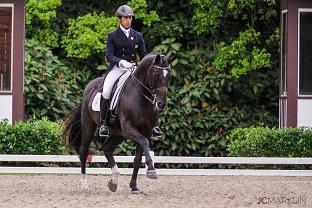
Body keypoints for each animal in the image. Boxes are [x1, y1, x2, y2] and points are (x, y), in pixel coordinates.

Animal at [62, 52, 173, 193]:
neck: (141, 98)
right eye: (155, 74)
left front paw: (134, 187)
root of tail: (90, 86)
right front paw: (151, 171)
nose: (161, 103)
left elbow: (138, 159)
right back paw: (84, 184)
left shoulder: (146, 131)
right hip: (89, 126)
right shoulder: (129, 129)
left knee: (106, 148)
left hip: (118, 134)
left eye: (169, 75)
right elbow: (144, 142)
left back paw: (113, 181)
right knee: (84, 151)